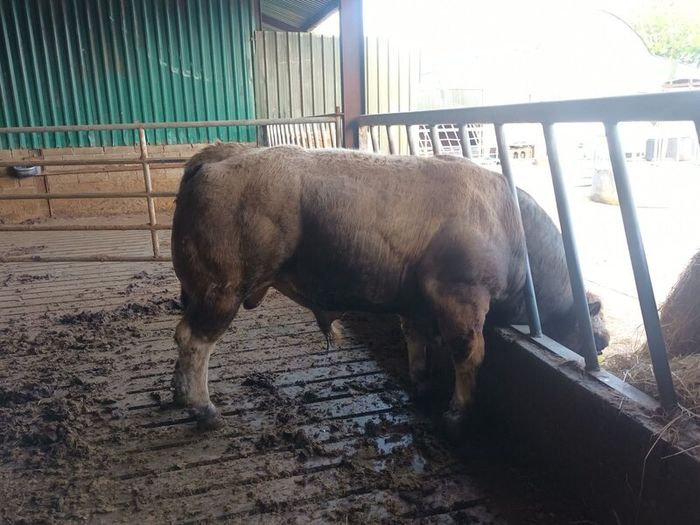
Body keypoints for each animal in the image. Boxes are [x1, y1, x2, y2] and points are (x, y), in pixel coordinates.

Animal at [170, 144, 609, 431]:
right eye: (601, 342)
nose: (601, 344)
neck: (508, 223)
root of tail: (216, 157)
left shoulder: (417, 304)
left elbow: (417, 341)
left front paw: (422, 385)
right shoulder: (462, 297)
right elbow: (468, 353)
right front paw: (457, 411)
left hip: (201, 290)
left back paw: (180, 396)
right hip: (221, 288)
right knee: (194, 340)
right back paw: (204, 410)